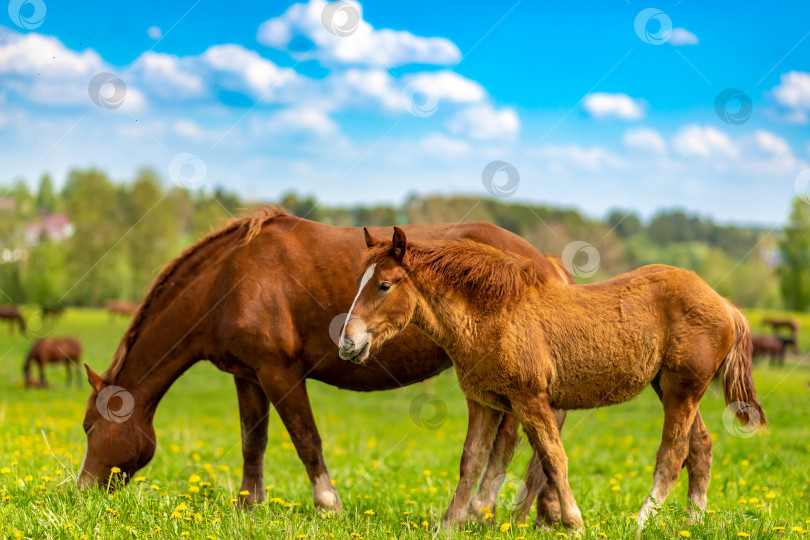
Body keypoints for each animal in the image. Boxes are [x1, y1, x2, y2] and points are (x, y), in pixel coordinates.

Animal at [74, 208, 568, 520]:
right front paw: (248, 505)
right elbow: (253, 441)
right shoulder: (248, 376)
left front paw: (328, 503)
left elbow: (306, 439)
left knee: (509, 440)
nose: (82, 492)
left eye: (87, 427)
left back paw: (483, 509)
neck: (228, 278)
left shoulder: (280, 373)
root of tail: (545, 263)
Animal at [336, 227, 764, 528]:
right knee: (701, 447)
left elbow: (553, 458)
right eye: (358, 282)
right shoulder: (484, 403)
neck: (494, 316)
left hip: (682, 389)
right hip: (672, 387)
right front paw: (449, 526)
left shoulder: (531, 399)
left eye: (384, 284)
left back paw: (642, 522)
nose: (347, 342)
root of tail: (724, 303)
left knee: (673, 454)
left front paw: (574, 522)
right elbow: (471, 462)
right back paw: (693, 521)